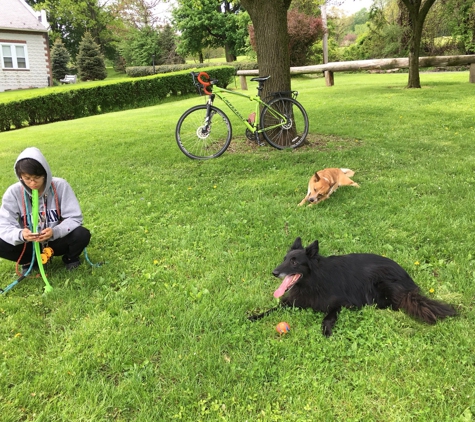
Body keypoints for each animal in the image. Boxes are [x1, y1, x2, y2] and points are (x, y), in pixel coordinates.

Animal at [249, 237, 458, 336]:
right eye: (285, 259)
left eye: (294, 262)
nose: (275, 272)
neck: (314, 279)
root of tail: (407, 278)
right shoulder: (293, 300)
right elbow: (273, 308)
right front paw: (255, 316)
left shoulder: (339, 302)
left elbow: (328, 317)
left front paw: (326, 330)